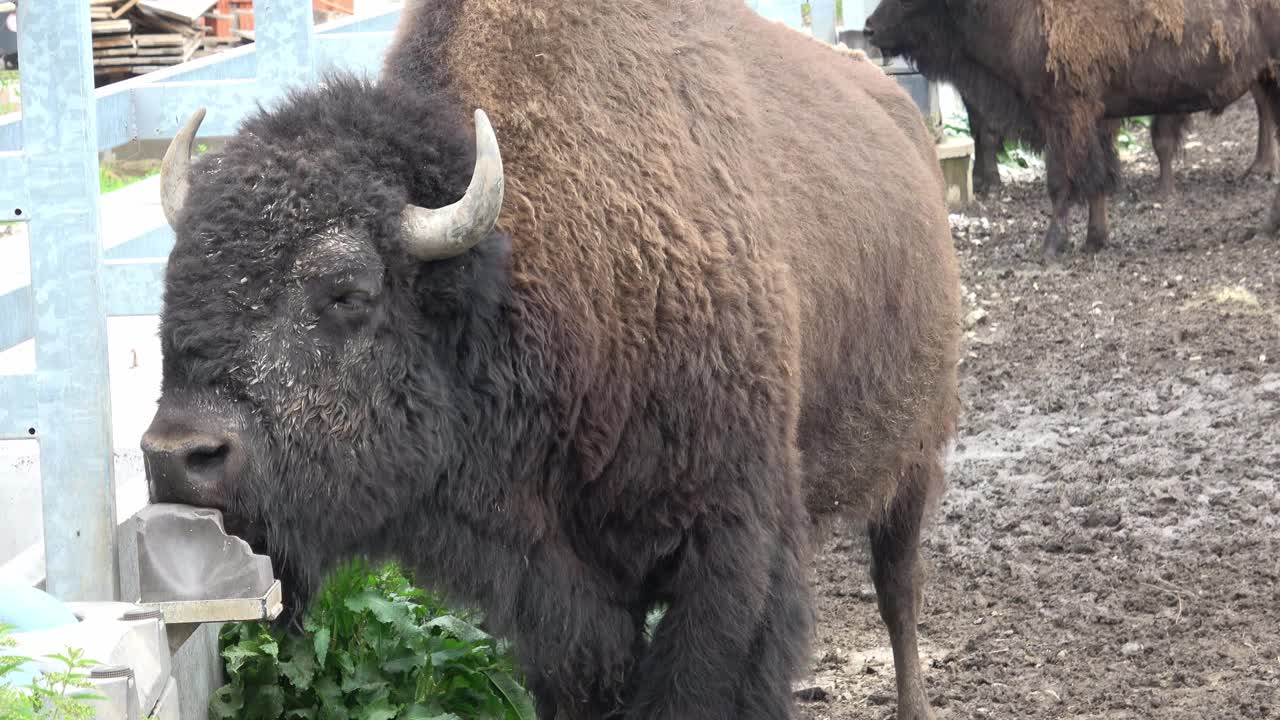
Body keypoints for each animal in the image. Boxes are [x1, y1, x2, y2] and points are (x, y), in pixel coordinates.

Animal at [140, 1, 962, 717]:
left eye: (347, 291)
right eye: (176, 279)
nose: (178, 455)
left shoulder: (733, 553)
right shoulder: (563, 598)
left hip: (915, 452)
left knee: (899, 587)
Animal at [865, 0, 1280, 256]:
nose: (869, 29)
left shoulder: (1062, 114)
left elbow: (1063, 181)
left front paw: (1052, 245)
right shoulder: (1095, 117)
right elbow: (1097, 177)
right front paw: (1096, 239)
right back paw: (1266, 225)